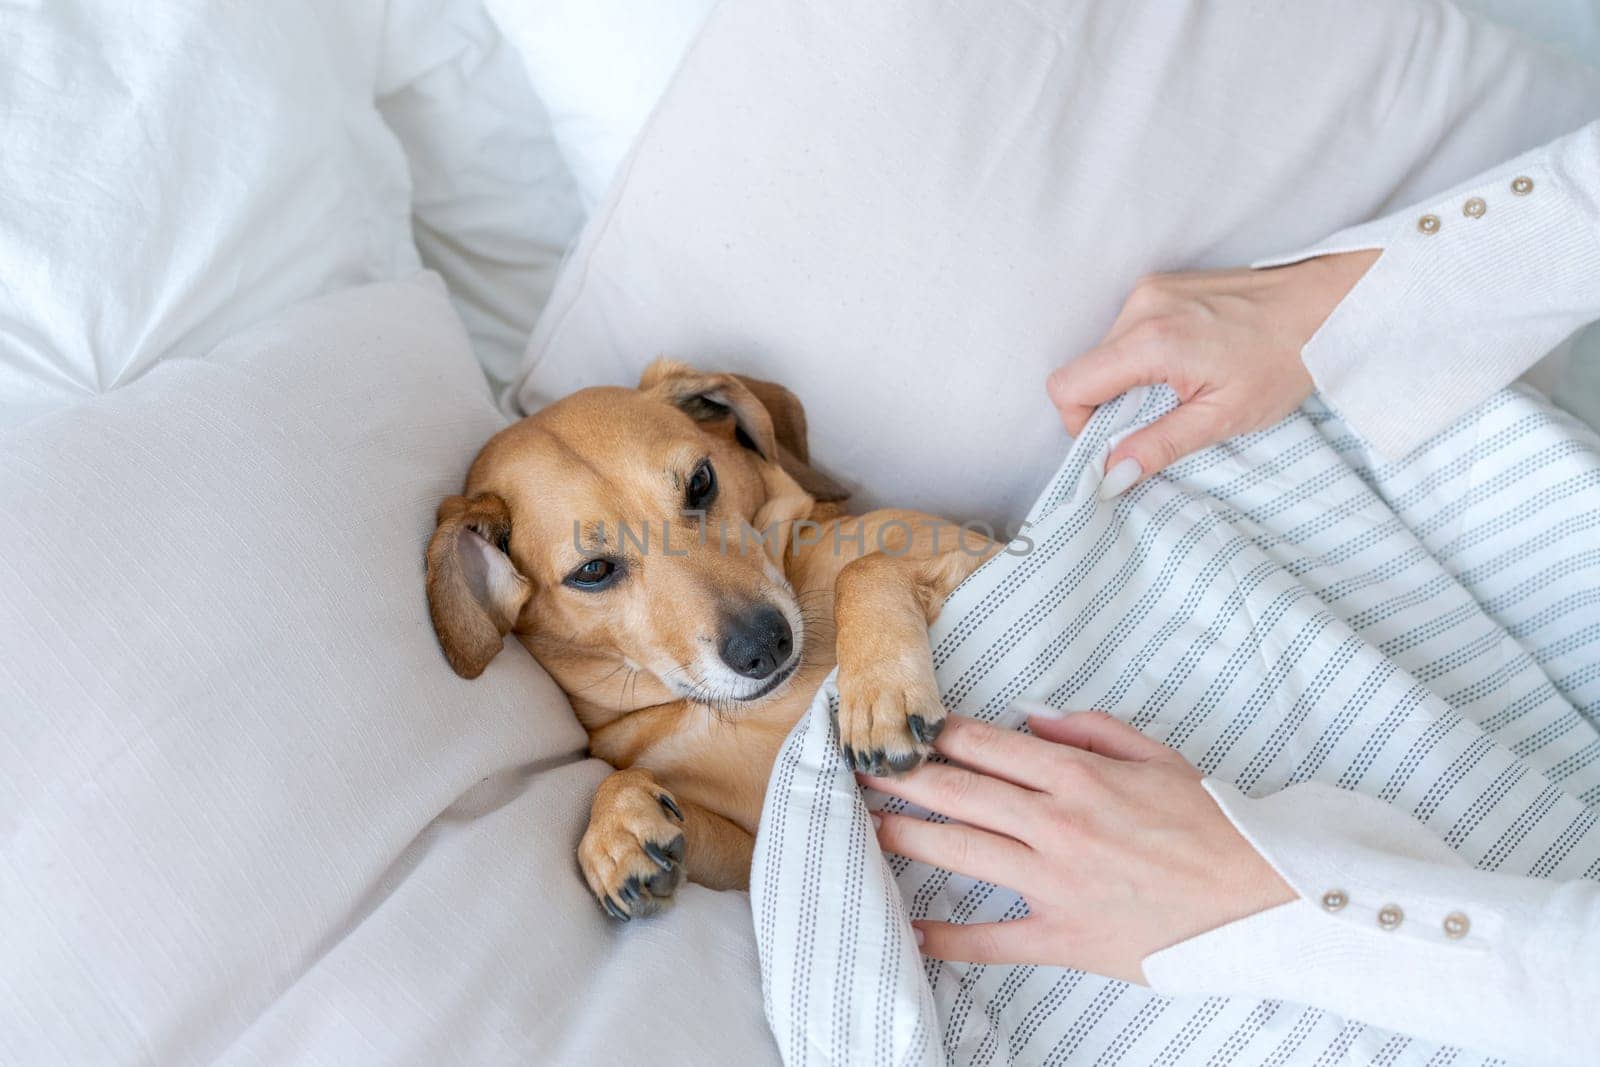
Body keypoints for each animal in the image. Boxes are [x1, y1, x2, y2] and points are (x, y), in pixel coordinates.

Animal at [432, 364, 992, 921]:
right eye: (592, 571)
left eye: (701, 482)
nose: (765, 646)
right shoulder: (759, 860)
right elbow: (627, 792)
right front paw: (616, 828)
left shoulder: (982, 555)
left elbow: (863, 568)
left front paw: (880, 698)